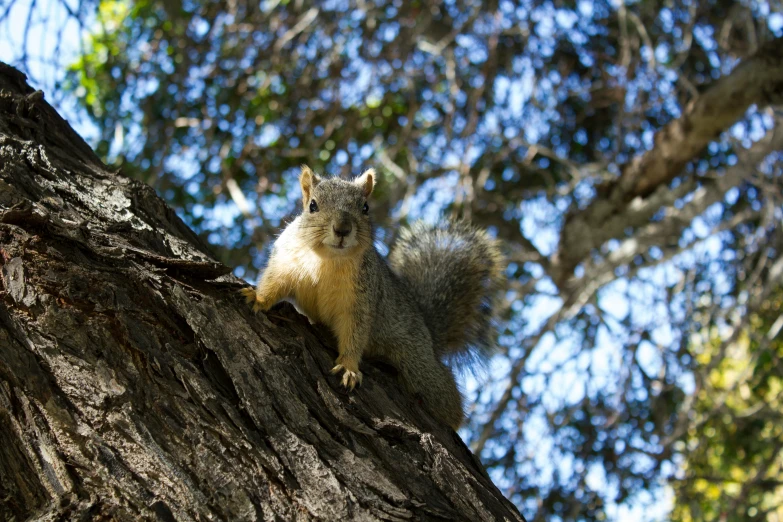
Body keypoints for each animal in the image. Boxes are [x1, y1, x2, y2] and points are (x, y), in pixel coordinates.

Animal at [242, 165, 506, 428]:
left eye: (365, 208)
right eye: (313, 206)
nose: (343, 229)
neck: (328, 259)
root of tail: (429, 335)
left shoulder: (361, 297)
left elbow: (355, 331)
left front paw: (348, 367)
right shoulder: (286, 262)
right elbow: (274, 283)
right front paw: (258, 298)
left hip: (417, 362)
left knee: (444, 394)